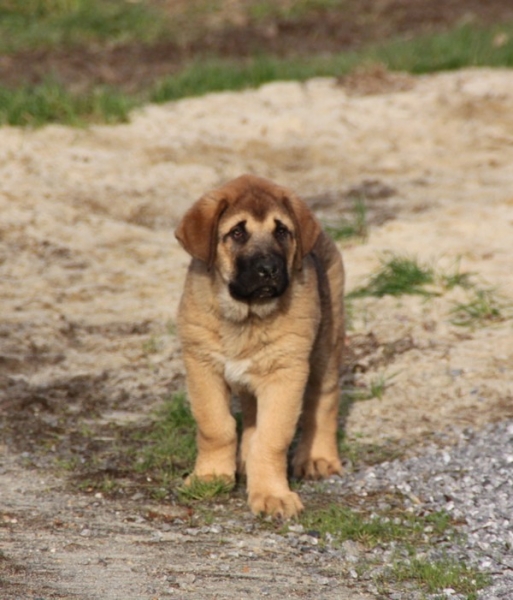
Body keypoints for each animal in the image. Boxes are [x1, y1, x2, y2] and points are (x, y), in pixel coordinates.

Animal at [174, 175, 346, 520]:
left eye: (282, 231)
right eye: (237, 232)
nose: (269, 269)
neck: (247, 317)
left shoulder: (286, 374)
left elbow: (271, 439)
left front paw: (271, 494)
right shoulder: (202, 365)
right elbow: (215, 426)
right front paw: (211, 475)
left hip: (325, 348)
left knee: (324, 400)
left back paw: (319, 458)